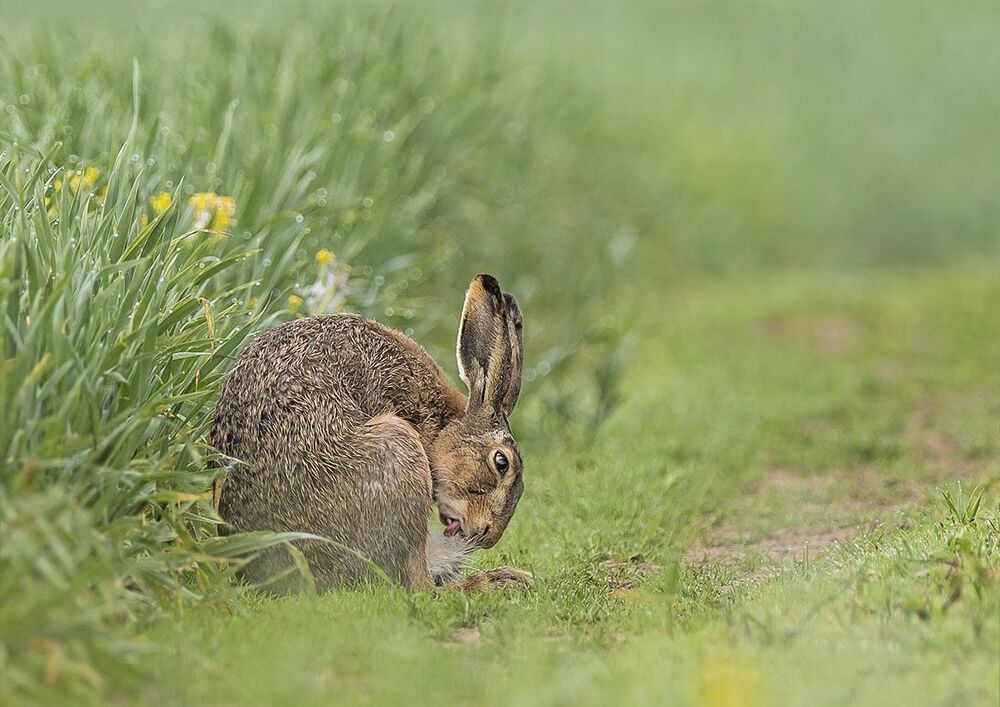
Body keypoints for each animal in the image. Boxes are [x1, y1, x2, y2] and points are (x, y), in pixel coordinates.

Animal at [210, 274, 532, 592]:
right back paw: (499, 581)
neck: (440, 427)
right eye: (501, 463)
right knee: (422, 587)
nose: (488, 535)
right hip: (399, 450)